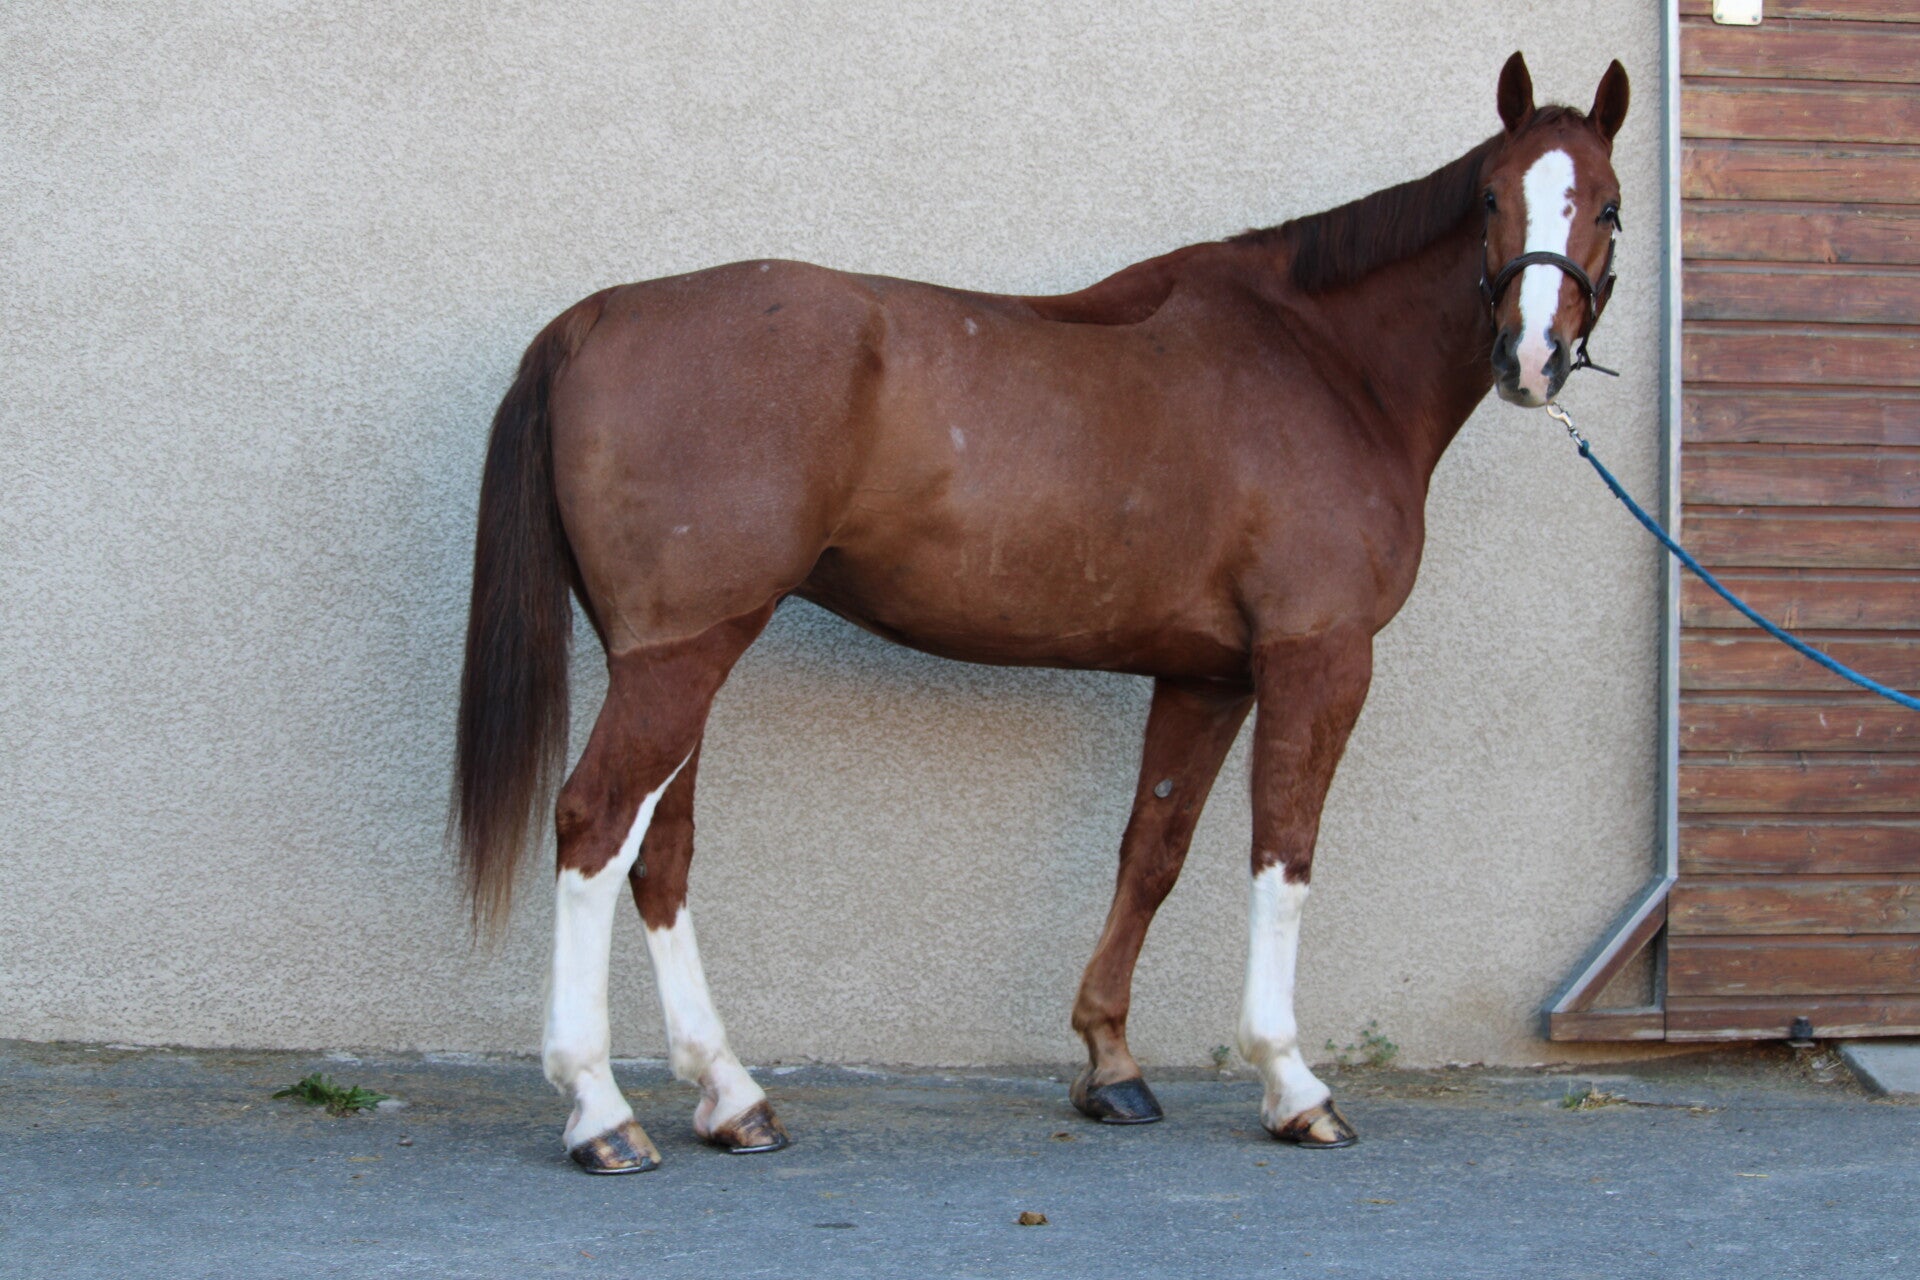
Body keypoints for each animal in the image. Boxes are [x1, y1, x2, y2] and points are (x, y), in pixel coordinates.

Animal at [451, 51, 1630, 1173]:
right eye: (1491, 198)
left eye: (1609, 205)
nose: (1531, 357)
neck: (1323, 362)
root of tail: (601, 314)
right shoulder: (1318, 656)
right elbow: (1282, 855)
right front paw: (1293, 1084)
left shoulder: (1206, 675)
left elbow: (1153, 848)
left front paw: (1111, 1065)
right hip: (681, 655)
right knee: (596, 824)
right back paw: (600, 1111)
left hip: (670, 654)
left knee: (661, 849)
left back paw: (731, 1098)